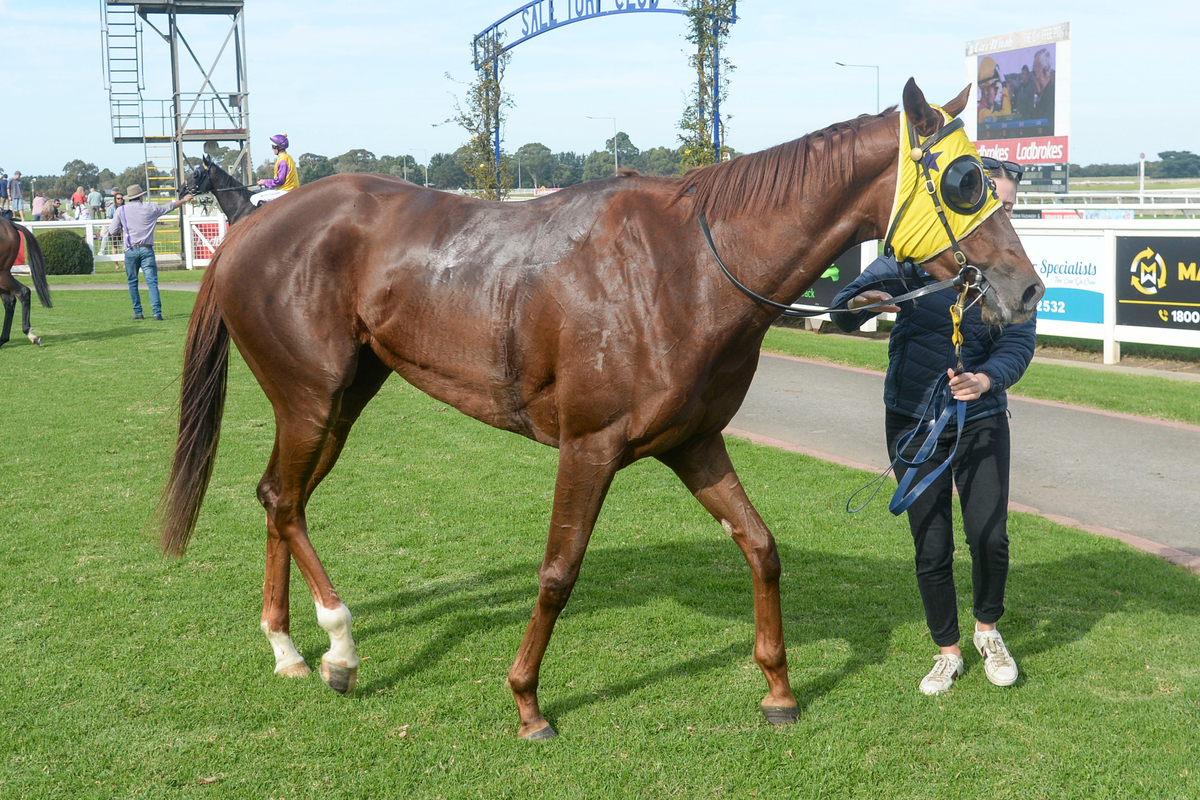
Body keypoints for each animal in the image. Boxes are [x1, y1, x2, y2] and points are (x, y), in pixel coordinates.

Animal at [159, 79, 1043, 740]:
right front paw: (526, 701)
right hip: (312, 399)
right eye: (966, 180)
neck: (687, 267)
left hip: (344, 397)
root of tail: (249, 231)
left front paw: (779, 688)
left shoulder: (695, 443)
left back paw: (289, 646)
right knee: (285, 502)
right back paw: (338, 646)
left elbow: (760, 547)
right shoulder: (589, 446)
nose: (1027, 288)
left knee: (280, 499)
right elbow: (558, 572)